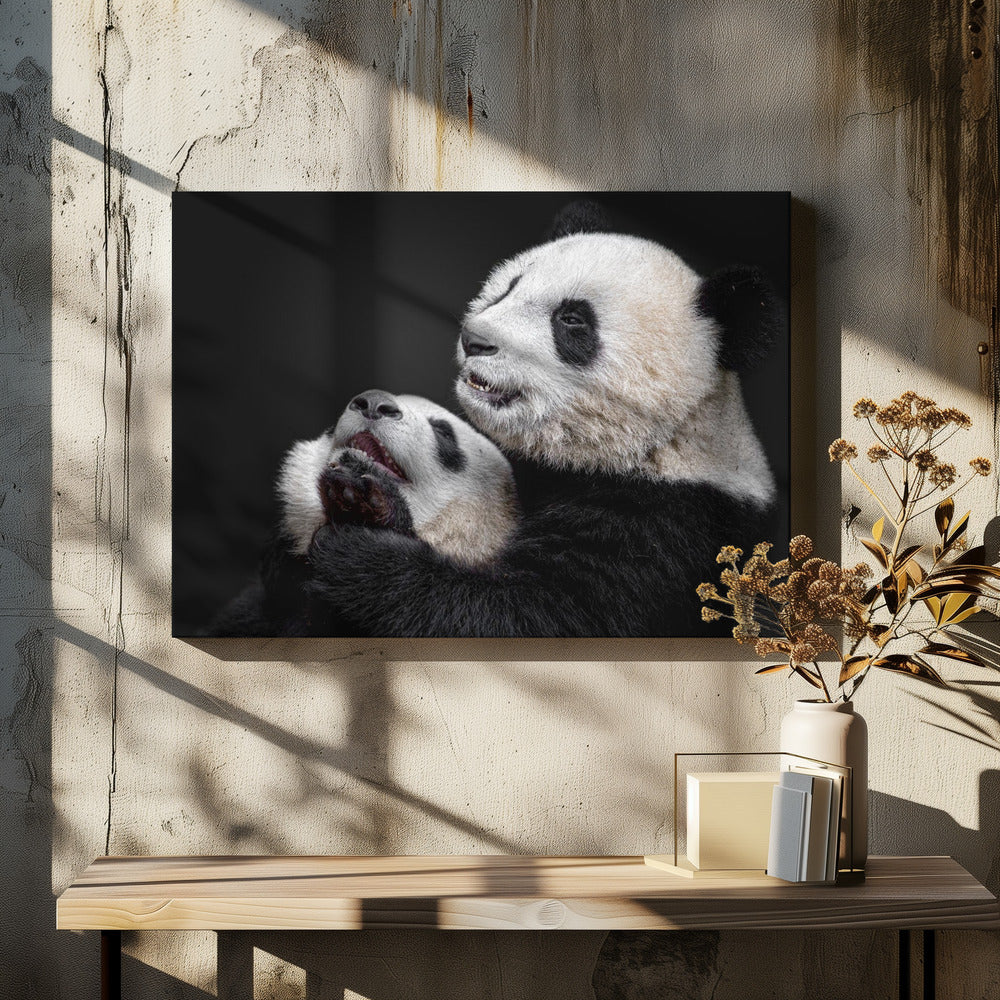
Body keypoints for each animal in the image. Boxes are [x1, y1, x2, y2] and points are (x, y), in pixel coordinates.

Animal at [307, 204, 781, 637]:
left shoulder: (665, 529)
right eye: (508, 288)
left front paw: (360, 542)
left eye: (571, 320)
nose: (474, 339)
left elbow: (528, 615)